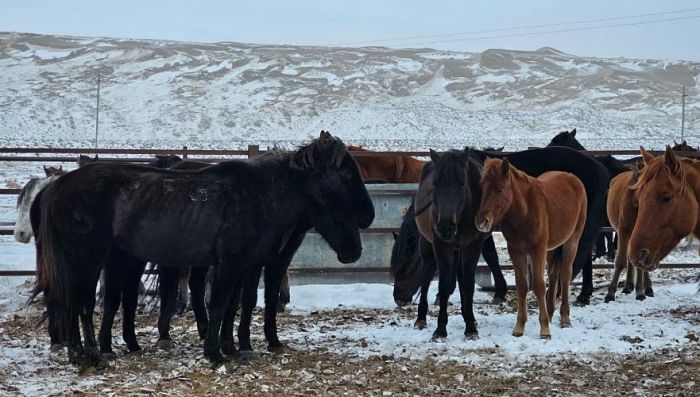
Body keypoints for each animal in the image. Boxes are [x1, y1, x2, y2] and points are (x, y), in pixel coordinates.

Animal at [35, 131, 374, 366]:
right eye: (347, 173)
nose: (368, 216)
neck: (259, 195)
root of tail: (60, 185)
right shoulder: (230, 264)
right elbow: (220, 304)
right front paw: (215, 352)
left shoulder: (245, 266)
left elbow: (235, 305)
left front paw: (232, 347)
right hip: (88, 259)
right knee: (81, 302)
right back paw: (89, 354)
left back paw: (83, 352)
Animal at [474, 158, 588, 338]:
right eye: (482, 188)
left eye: (499, 190)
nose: (481, 222)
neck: (524, 211)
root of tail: (572, 178)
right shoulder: (516, 251)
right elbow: (522, 285)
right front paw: (519, 326)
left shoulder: (537, 250)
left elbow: (539, 285)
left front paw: (545, 329)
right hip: (551, 249)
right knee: (553, 275)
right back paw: (550, 313)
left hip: (572, 241)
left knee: (565, 275)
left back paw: (565, 319)